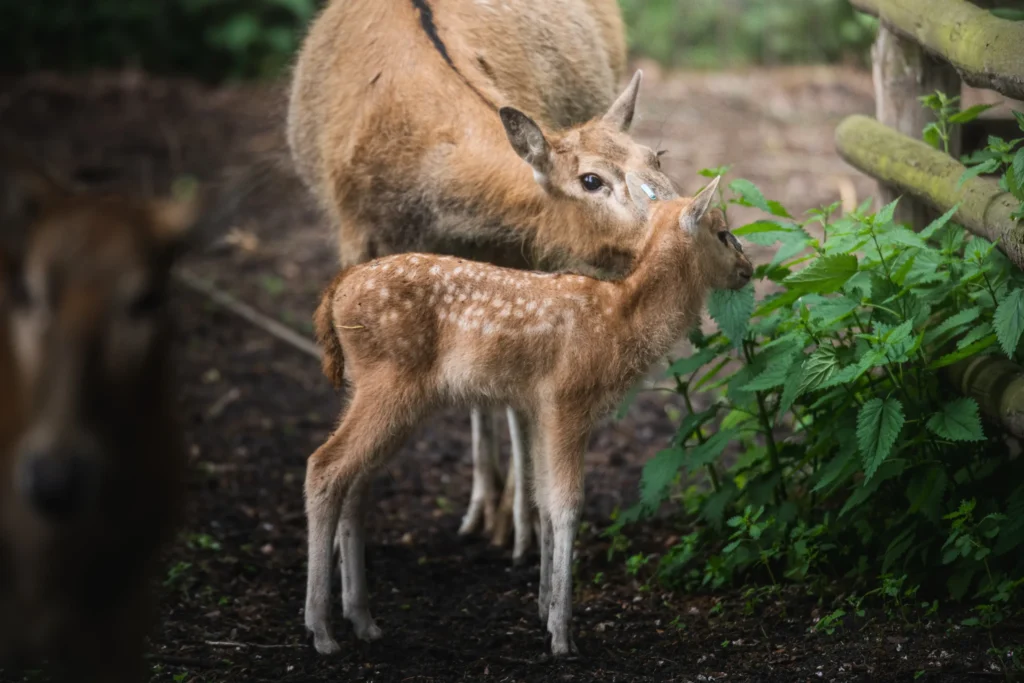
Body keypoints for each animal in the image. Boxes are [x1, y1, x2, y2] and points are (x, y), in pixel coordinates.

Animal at [286, 0, 679, 565]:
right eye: (591, 180)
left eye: (656, 157)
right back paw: (482, 507)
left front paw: (524, 528)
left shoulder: (517, 248)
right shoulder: (357, 234)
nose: (689, 219)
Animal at [303, 176, 753, 655]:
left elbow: (542, 501)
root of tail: (337, 290)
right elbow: (567, 505)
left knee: (356, 483)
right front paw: (562, 634)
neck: (619, 322)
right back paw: (322, 630)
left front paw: (542, 609)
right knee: (324, 466)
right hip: (389, 384)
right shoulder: (567, 400)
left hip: (378, 393)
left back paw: (362, 620)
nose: (748, 267)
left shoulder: (538, 407)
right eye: (722, 232)